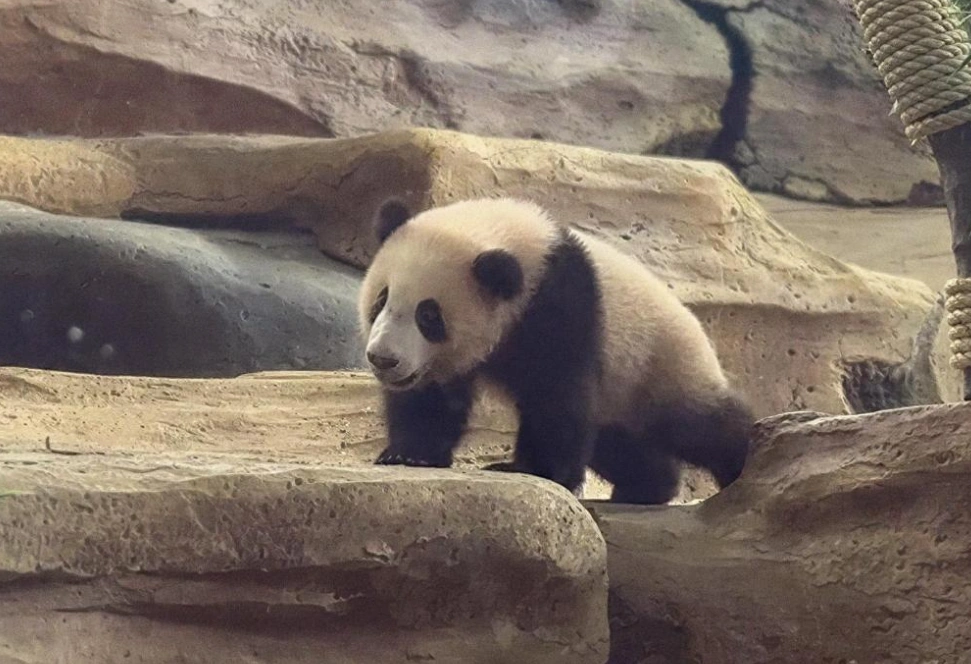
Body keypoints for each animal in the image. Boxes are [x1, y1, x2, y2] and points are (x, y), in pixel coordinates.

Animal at [358, 197, 753, 504]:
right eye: (381, 299)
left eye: (428, 315)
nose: (383, 359)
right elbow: (432, 399)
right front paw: (410, 454)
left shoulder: (559, 304)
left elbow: (555, 393)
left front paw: (533, 469)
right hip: (620, 397)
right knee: (618, 444)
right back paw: (648, 486)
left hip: (659, 366)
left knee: (700, 426)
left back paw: (745, 461)